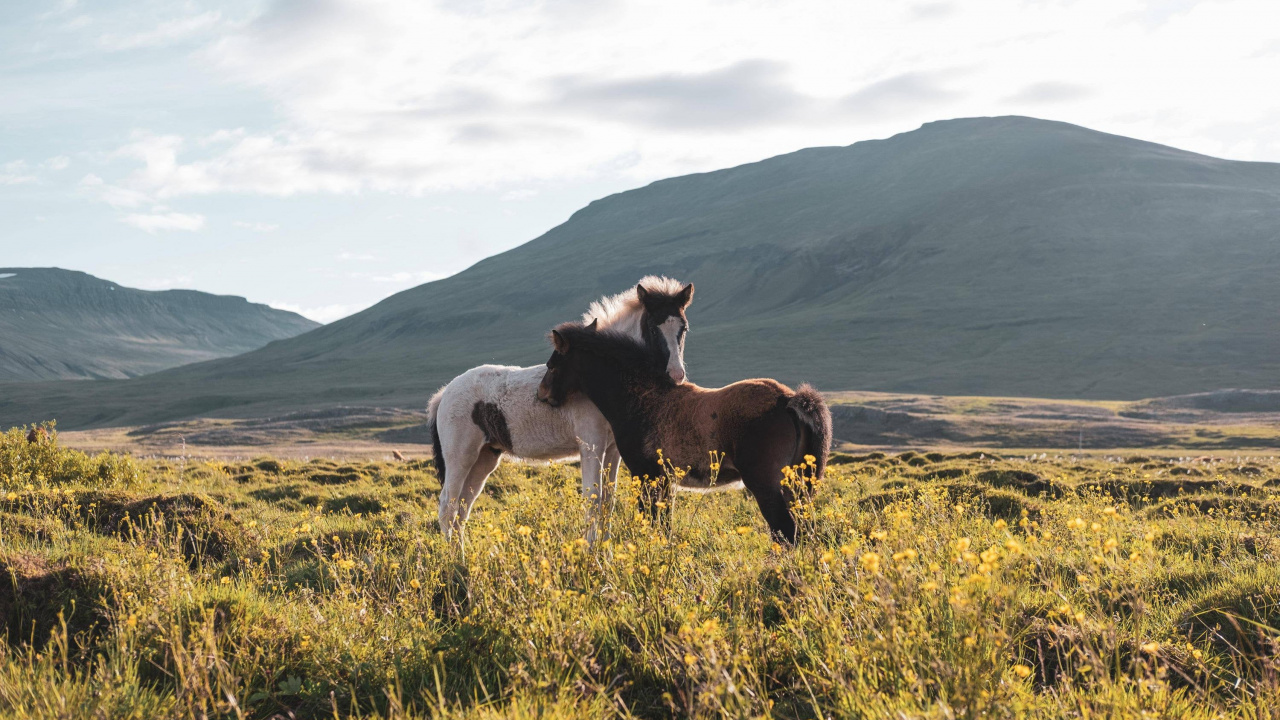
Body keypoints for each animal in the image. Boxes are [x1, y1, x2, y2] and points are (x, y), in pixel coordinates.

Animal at [428, 277, 694, 541]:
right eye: (653, 328)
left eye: (684, 329)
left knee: (462, 508)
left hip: (485, 457)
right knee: (448, 506)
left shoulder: (612, 450)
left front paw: (606, 552)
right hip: (460, 457)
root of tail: (443, 394)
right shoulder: (591, 443)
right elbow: (593, 500)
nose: (675, 376)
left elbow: (608, 502)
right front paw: (591, 551)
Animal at [537, 321, 831, 544]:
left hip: (766, 484)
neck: (642, 399)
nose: (542, 395)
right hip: (798, 485)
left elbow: (650, 519)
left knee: (787, 531)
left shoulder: (645, 473)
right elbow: (664, 525)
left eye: (552, 365)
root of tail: (789, 399)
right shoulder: (665, 479)